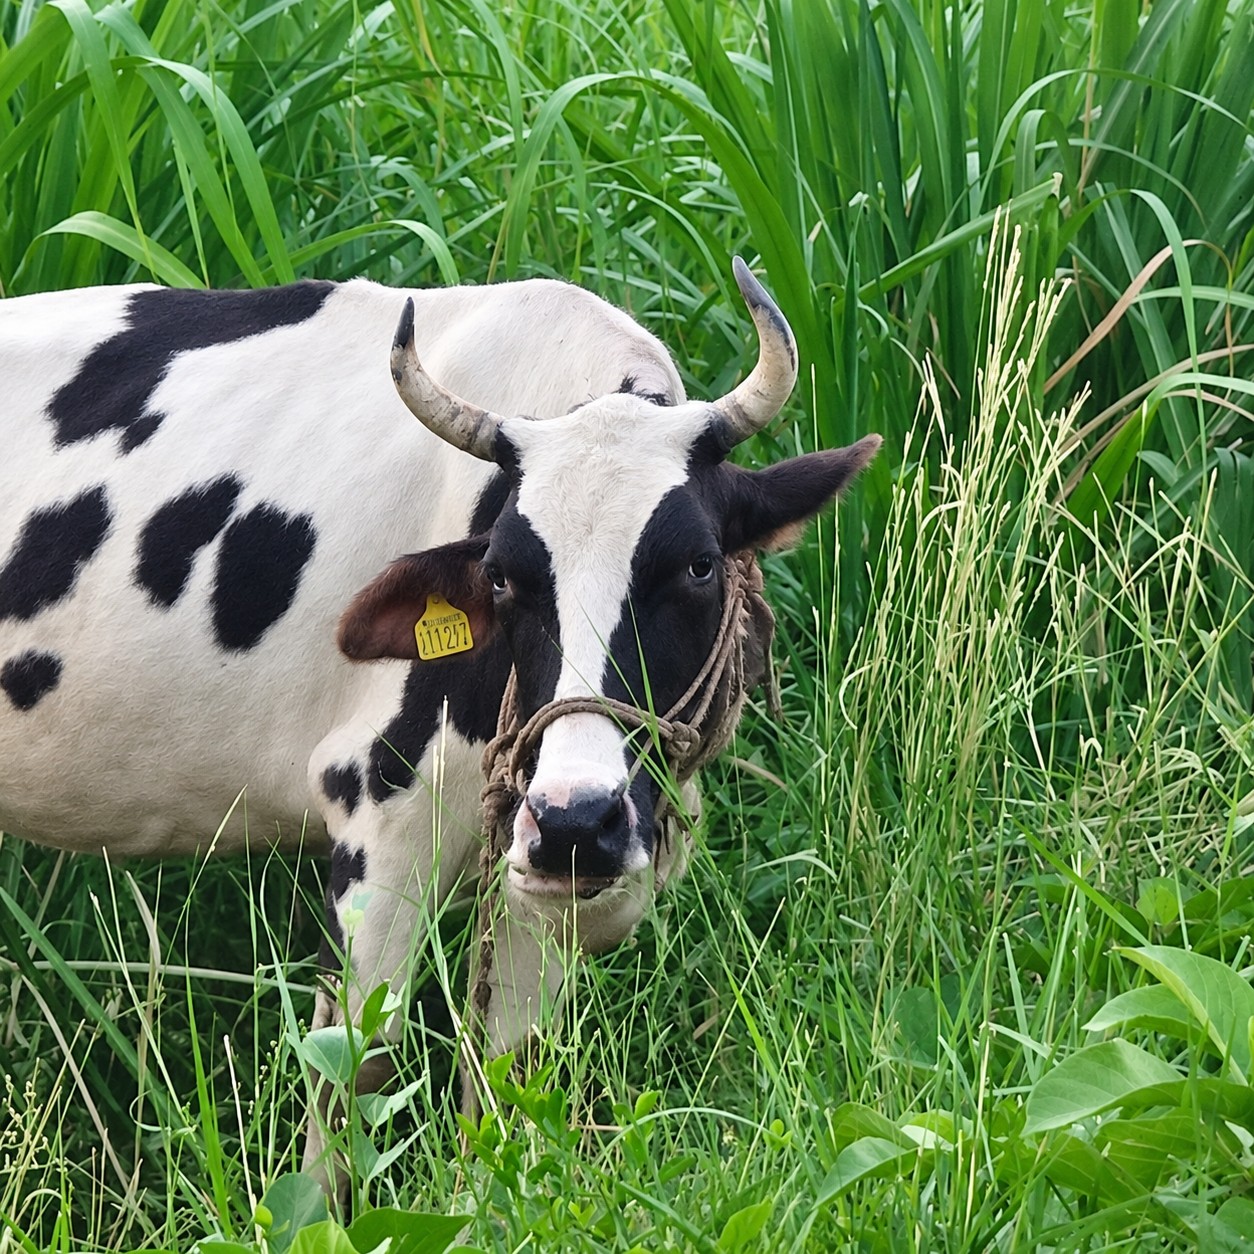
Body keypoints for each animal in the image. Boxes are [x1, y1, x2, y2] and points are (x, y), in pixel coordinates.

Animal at [0, 259, 879, 1186]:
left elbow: (511, 1068)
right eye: (500, 577)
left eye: (700, 565)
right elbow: (353, 1065)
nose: (578, 819)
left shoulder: (538, 874)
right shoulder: (379, 816)